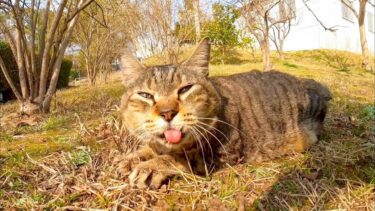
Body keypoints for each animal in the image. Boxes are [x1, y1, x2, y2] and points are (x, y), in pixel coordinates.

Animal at [120, 38, 332, 189]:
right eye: (146, 95)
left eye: (185, 89)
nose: (167, 113)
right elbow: (151, 147)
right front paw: (132, 157)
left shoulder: (218, 156)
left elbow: (177, 158)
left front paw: (149, 167)